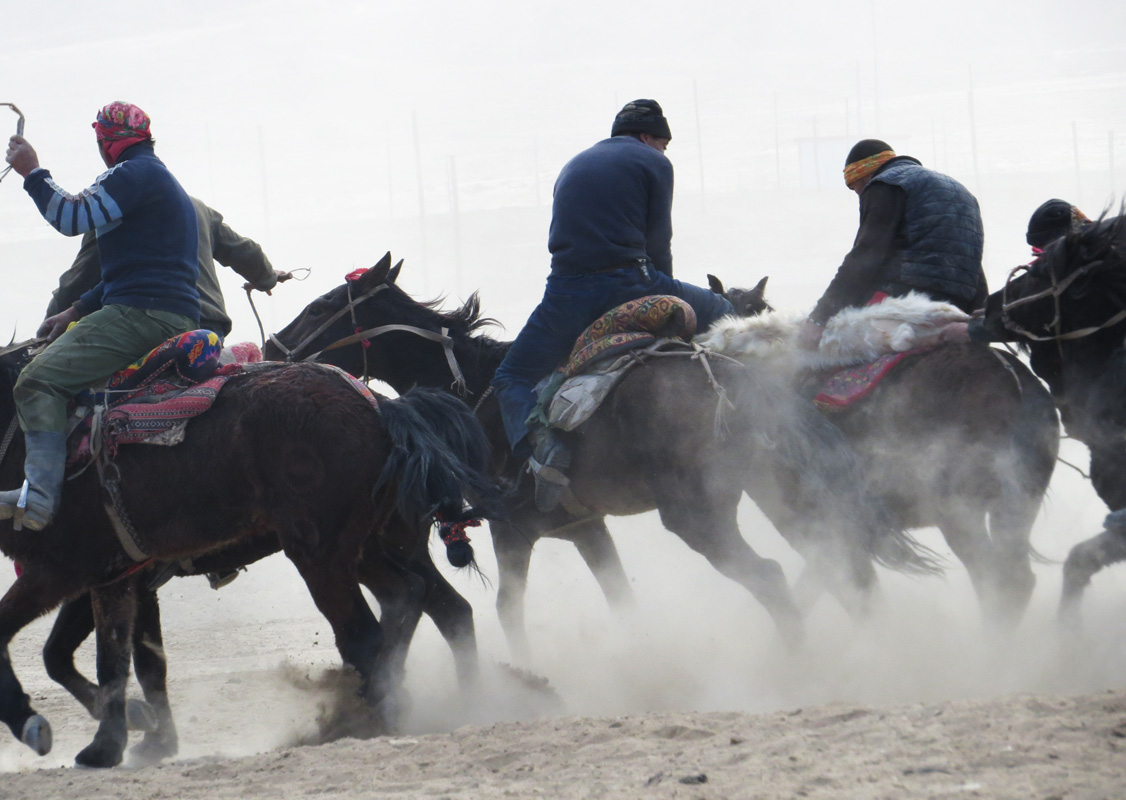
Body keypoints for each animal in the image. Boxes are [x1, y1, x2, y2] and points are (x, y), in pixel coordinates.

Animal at [0, 344, 497, 770]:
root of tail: (382, 408)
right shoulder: (116, 575)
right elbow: (121, 660)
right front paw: (122, 742)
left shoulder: (65, 570)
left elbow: (47, 648)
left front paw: (36, 724)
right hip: (367, 548)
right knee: (419, 600)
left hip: (321, 554)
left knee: (368, 633)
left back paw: (364, 719)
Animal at [258, 255, 936, 662]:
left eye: (322, 306)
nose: (271, 346)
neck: (473, 391)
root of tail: (737, 376)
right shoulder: (585, 528)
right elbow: (620, 599)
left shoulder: (514, 531)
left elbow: (509, 610)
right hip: (780, 491)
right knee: (843, 562)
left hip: (697, 513)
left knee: (773, 576)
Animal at [707, 279, 1058, 630]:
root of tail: (1014, 382)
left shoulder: (802, 514)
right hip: (1015, 504)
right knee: (1015, 578)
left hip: (961, 512)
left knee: (996, 579)